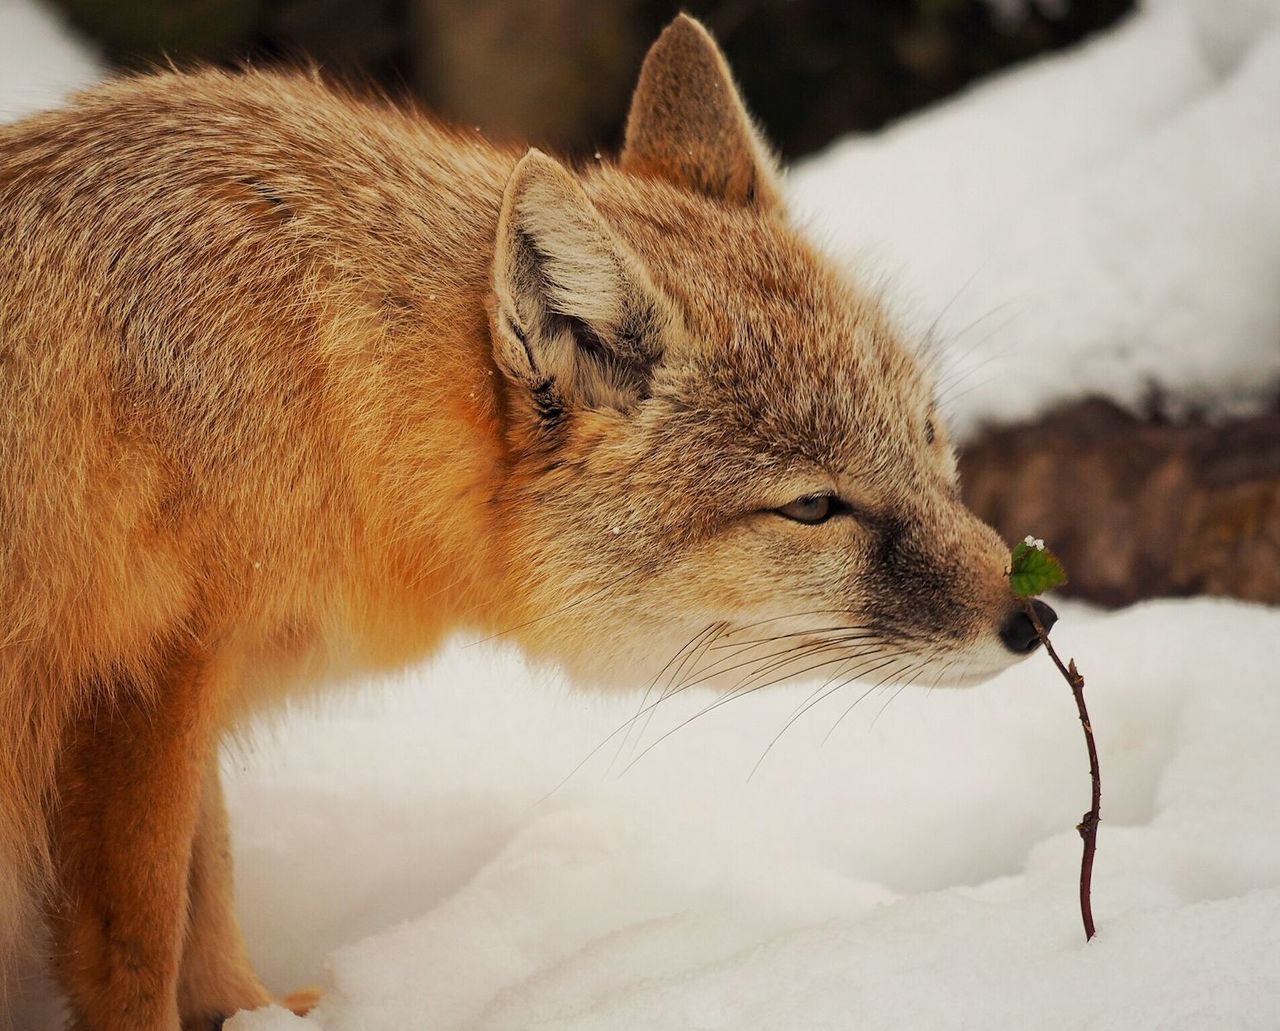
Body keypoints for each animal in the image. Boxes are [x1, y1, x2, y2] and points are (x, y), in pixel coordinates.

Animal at [0, 14, 1059, 1029]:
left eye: (927, 436)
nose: (1035, 619)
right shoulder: (143, 682)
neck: (317, 376)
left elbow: (206, 893)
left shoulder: (185, 696)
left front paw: (249, 1014)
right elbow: (143, 939)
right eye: (813, 507)